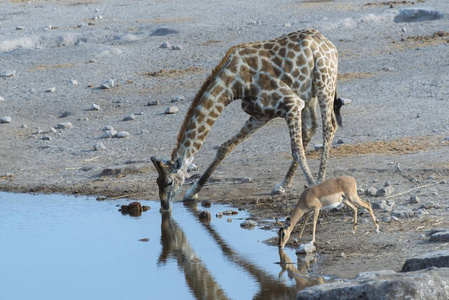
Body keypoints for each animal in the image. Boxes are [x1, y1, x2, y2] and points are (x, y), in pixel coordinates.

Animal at [150, 28, 340, 211]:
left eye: (169, 182)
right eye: (157, 182)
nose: (164, 207)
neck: (234, 82)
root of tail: (329, 44)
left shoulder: (291, 103)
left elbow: (297, 150)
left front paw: (314, 188)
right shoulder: (261, 114)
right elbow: (225, 147)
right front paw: (192, 192)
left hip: (325, 83)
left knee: (329, 126)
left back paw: (319, 181)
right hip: (308, 93)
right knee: (311, 127)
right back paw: (282, 185)